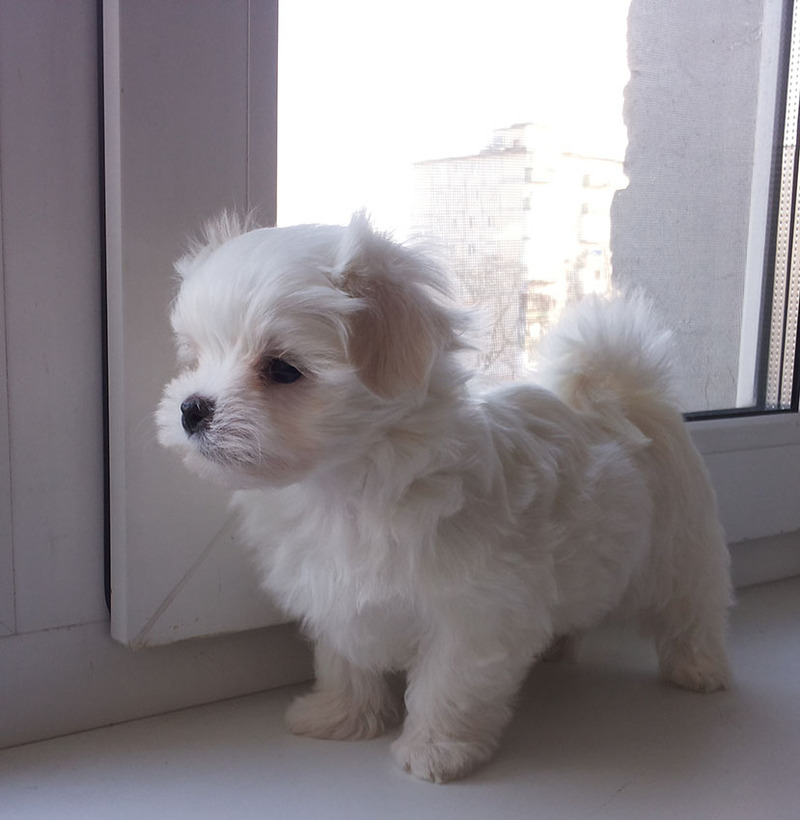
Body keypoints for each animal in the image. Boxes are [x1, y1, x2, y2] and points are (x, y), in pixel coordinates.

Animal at [157, 212, 732, 783]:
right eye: (196, 358)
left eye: (281, 369)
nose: (191, 408)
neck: (348, 485)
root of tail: (625, 396)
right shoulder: (333, 594)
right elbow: (344, 660)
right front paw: (340, 716)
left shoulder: (475, 611)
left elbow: (449, 683)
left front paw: (437, 750)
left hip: (680, 545)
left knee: (692, 608)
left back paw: (699, 670)